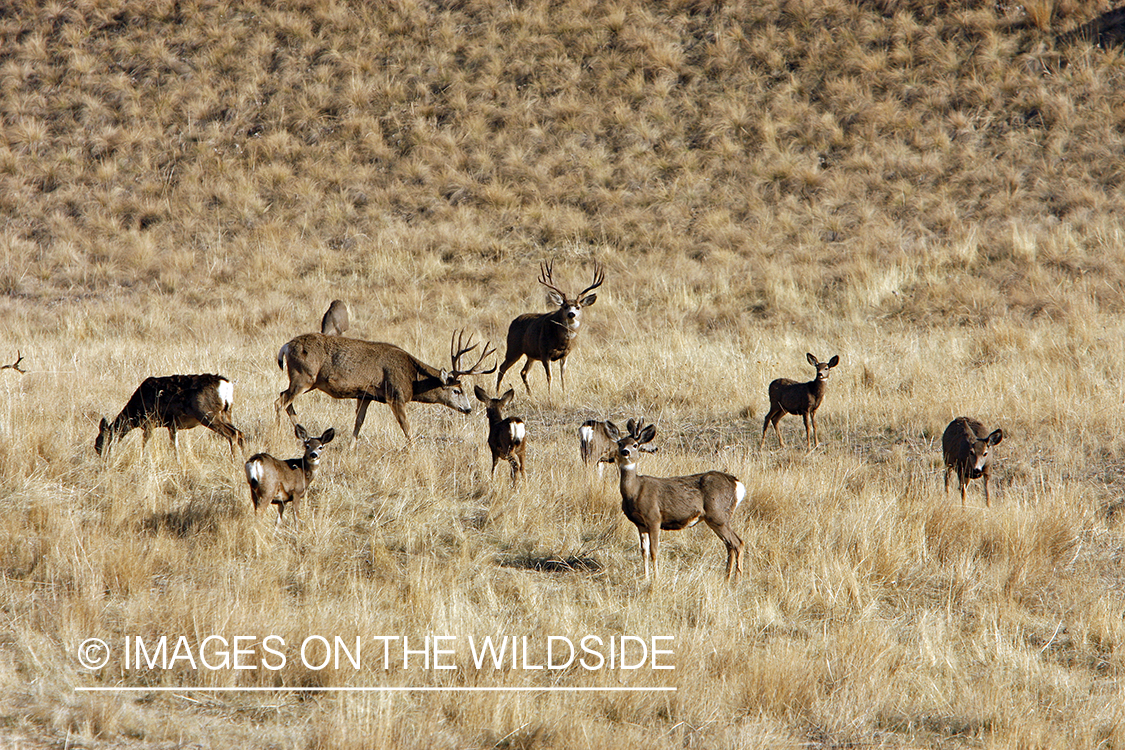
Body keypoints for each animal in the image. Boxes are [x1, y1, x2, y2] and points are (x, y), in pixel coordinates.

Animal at [95, 374, 244, 457]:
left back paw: (234, 461)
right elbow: (174, 447)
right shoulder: (172, 425)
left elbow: (144, 444)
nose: (102, 457)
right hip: (226, 413)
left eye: (100, 441)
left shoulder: (149, 422)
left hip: (207, 414)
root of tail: (226, 385)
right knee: (240, 433)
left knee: (232, 434)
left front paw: (142, 460)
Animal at [275, 330, 496, 445]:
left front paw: (352, 447)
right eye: (457, 390)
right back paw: (278, 433)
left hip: (308, 381)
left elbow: (358, 422)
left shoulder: (366, 395)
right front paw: (412, 449)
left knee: (284, 397)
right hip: (304, 377)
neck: (412, 378)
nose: (468, 409)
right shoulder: (395, 395)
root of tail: (285, 346)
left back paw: (302, 433)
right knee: (280, 401)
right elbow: (406, 427)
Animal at [496, 261, 605, 396]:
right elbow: (549, 376)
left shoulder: (565, 354)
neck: (562, 341)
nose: (571, 314)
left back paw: (530, 394)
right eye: (564, 306)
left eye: (578, 307)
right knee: (502, 368)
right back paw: (497, 393)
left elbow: (563, 376)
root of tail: (513, 322)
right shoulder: (544, 352)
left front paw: (564, 393)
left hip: (531, 354)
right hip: (513, 347)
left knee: (523, 371)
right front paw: (550, 395)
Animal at [606, 419, 745, 581]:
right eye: (620, 443)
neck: (635, 491)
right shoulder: (640, 523)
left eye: (635, 445)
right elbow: (644, 551)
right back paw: (727, 578)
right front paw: (646, 577)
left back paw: (737, 579)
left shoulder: (654, 517)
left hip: (718, 515)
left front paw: (656, 578)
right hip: (716, 519)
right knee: (730, 545)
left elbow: (654, 551)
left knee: (738, 543)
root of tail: (738, 484)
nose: (625, 452)